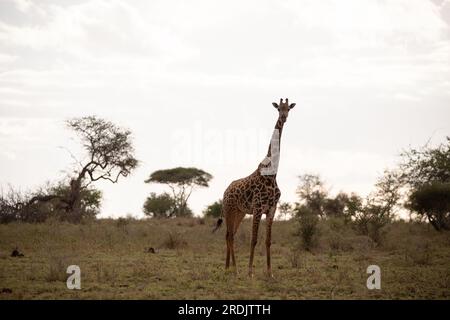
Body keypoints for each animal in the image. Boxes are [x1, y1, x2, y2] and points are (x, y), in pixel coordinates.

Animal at [214, 98, 296, 278]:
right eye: (278, 108)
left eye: (289, 109)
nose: (284, 117)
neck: (272, 174)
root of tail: (225, 192)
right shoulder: (258, 208)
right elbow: (254, 239)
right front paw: (250, 272)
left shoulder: (272, 209)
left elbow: (267, 241)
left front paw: (270, 272)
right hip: (229, 211)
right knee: (230, 236)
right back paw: (235, 269)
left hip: (240, 212)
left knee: (229, 235)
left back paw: (229, 268)